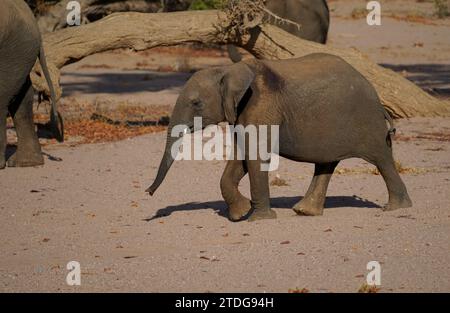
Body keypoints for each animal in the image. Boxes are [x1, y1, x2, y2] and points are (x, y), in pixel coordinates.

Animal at [147, 52, 412, 221]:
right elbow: (241, 158)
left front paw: (259, 219)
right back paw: (304, 212)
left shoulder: (261, 106)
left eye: (196, 103)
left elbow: (255, 157)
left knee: (382, 160)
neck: (227, 70)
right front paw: (240, 213)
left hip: (367, 122)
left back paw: (395, 209)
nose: (148, 193)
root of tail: (378, 100)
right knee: (326, 163)